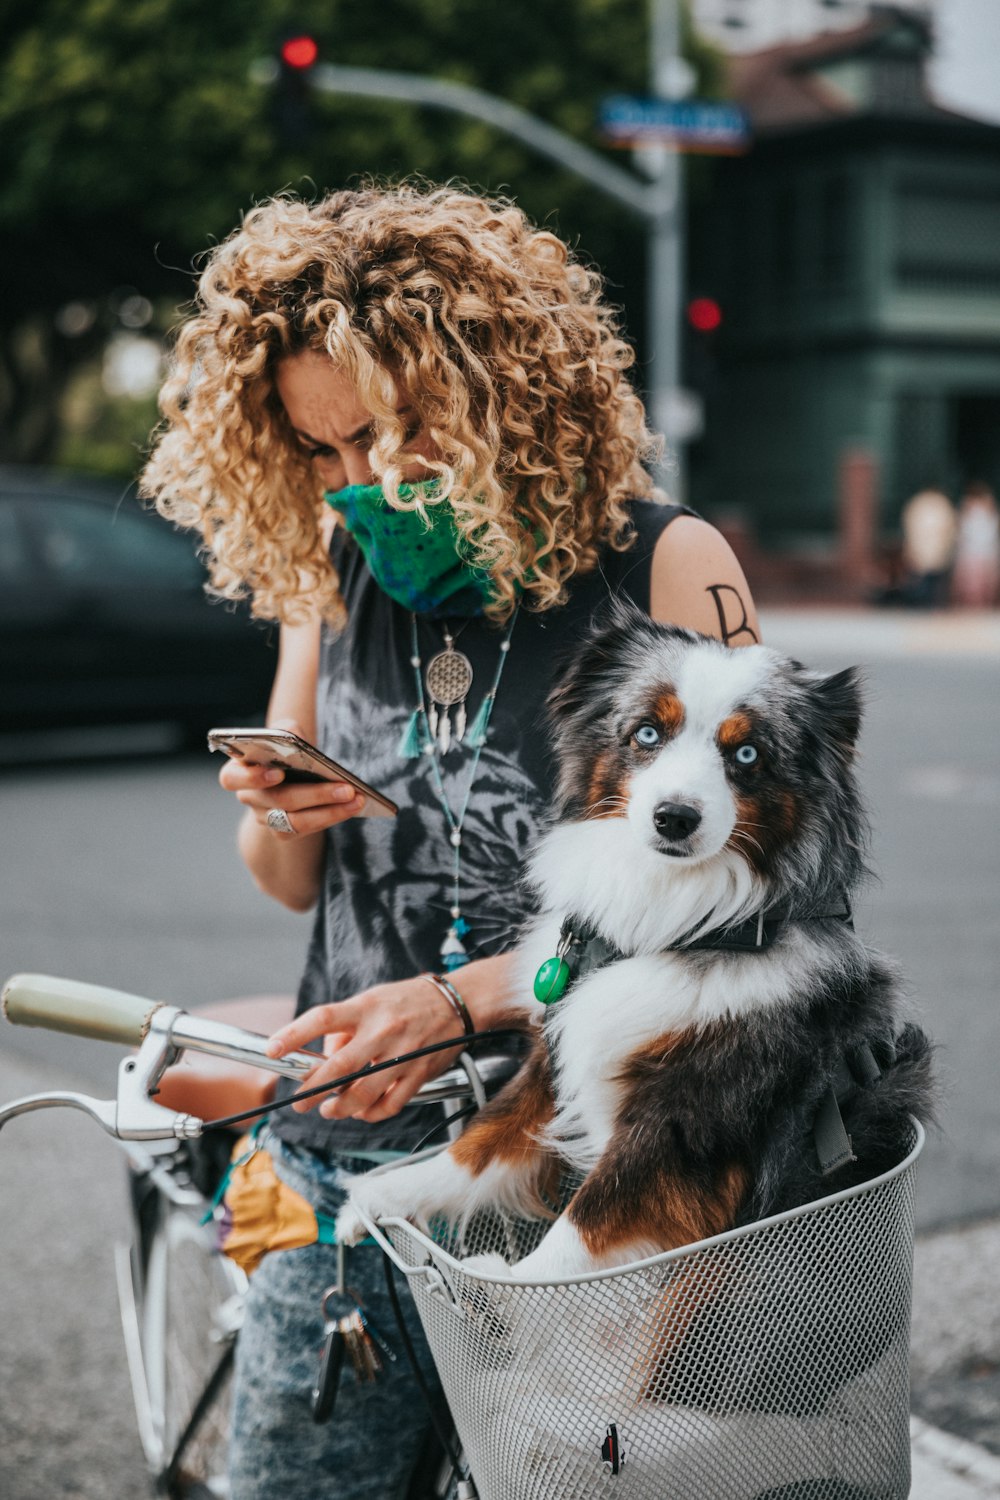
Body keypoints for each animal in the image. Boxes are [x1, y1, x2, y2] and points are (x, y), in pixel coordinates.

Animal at [334, 597, 929, 1278]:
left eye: (747, 754)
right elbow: (482, 1138)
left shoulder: (685, 1124)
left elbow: (583, 1226)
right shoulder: (553, 1055)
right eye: (647, 733)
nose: (675, 818)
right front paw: (376, 1197)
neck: (676, 927)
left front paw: (511, 1289)